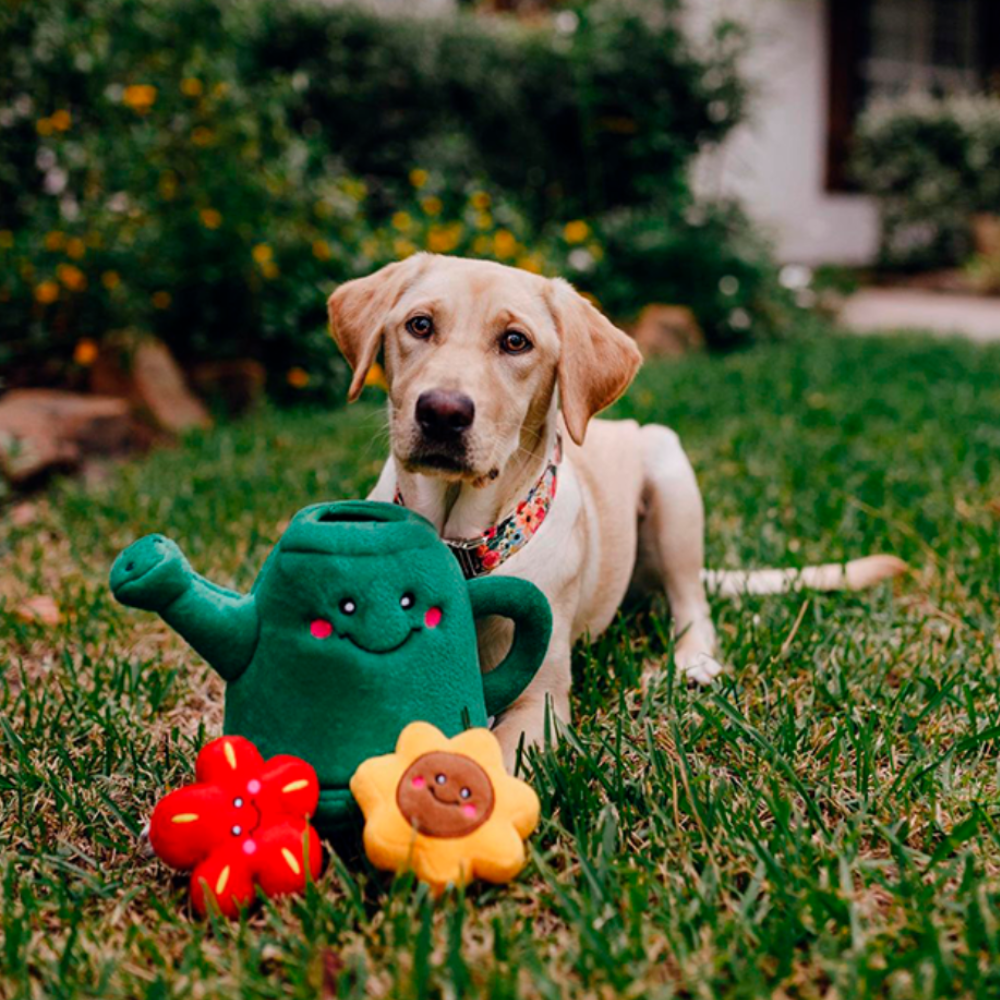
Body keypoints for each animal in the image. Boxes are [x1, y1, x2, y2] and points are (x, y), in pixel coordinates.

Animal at [330, 254, 908, 768]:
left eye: (516, 341)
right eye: (419, 325)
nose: (442, 412)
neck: (462, 543)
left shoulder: (540, 702)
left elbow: (496, 766)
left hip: (669, 470)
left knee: (694, 604)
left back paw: (692, 662)